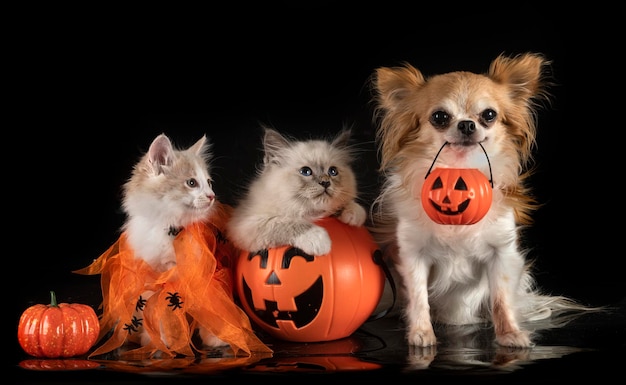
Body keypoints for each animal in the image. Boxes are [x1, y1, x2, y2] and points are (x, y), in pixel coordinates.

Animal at [227, 126, 366, 256]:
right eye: (306, 171)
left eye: (333, 171)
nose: (325, 182)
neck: (310, 214)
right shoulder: (248, 223)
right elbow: (287, 223)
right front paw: (319, 240)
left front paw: (354, 213)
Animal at [368, 52, 592, 350]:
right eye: (439, 117)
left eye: (489, 115)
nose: (466, 124)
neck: (460, 171)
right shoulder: (413, 254)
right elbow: (419, 298)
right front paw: (421, 334)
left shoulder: (501, 253)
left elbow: (501, 299)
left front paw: (510, 334)